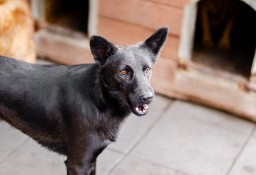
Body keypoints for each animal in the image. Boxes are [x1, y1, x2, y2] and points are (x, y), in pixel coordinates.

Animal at [0, 27, 168, 174]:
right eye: (123, 72)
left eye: (147, 69)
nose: (148, 97)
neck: (100, 101)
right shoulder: (78, 164)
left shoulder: (91, 161)